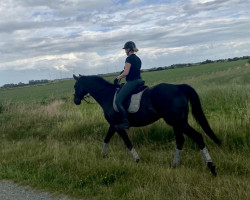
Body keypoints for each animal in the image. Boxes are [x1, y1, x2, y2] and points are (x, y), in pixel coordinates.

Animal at [73, 74, 222, 176]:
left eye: (75, 86)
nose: (75, 101)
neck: (107, 95)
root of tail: (178, 87)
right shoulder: (113, 125)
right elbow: (107, 138)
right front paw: (103, 156)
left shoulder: (117, 126)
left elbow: (127, 142)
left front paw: (137, 159)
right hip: (177, 123)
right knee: (180, 140)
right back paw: (174, 165)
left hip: (179, 123)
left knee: (198, 137)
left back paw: (212, 168)